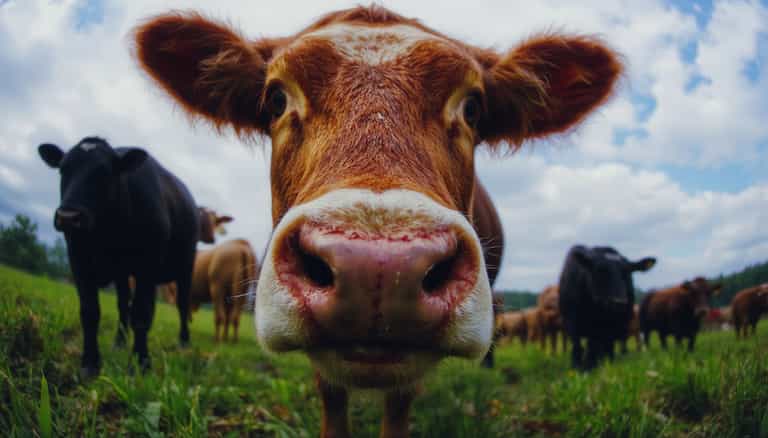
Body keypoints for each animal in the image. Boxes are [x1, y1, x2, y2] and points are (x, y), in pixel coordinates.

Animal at [38, 136, 197, 376]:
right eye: (63, 169)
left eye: (105, 172)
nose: (68, 217)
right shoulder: (78, 258)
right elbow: (90, 311)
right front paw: (90, 363)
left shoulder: (147, 263)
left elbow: (141, 314)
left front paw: (141, 363)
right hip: (123, 274)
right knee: (124, 305)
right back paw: (119, 342)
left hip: (185, 268)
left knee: (181, 304)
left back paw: (184, 341)